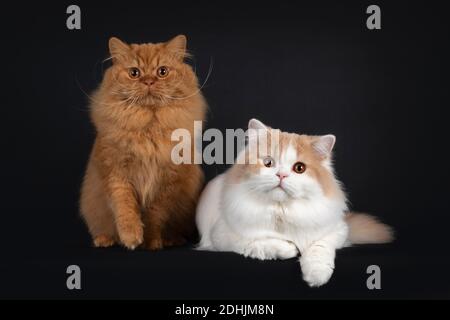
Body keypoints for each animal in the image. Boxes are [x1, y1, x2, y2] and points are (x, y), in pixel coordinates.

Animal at [80, 35, 207, 250]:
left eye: (162, 72)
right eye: (134, 73)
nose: (148, 81)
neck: (149, 130)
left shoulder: (168, 182)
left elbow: (155, 216)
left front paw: (151, 242)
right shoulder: (117, 175)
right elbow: (125, 210)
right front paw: (131, 238)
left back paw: (172, 240)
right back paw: (105, 240)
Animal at [195, 119, 392, 288]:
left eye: (299, 168)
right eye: (268, 163)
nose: (281, 175)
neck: (282, 210)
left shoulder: (336, 230)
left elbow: (319, 249)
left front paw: (317, 276)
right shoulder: (222, 235)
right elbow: (259, 242)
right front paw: (289, 248)